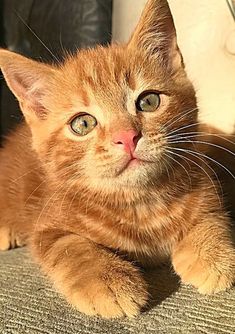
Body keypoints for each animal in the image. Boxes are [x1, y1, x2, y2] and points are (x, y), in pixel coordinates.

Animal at [0, 0, 234, 318]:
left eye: (149, 101)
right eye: (82, 124)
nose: (127, 137)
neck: (142, 204)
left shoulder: (206, 185)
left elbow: (211, 218)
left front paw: (212, 255)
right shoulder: (47, 227)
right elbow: (71, 246)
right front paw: (106, 279)